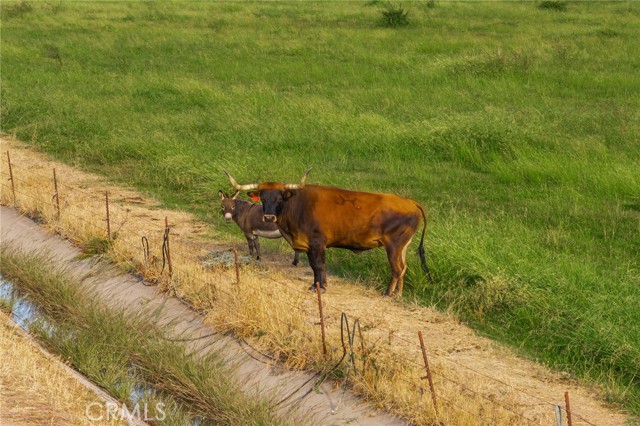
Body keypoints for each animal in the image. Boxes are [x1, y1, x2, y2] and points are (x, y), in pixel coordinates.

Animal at [222, 168, 432, 294]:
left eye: (280, 197)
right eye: (263, 198)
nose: (268, 218)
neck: (297, 206)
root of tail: (409, 201)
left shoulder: (317, 243)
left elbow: (319, 265)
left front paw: (321, 288)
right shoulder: (308, 245)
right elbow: (314, 267)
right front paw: (315, 285)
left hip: (394, 245)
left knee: (397, 269)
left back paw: (388, 293)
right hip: (403, 246)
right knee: (404, 268)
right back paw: (398, 293)